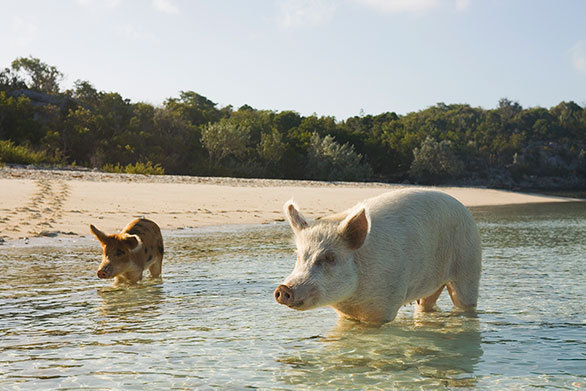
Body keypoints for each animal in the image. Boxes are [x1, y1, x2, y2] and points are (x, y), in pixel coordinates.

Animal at [276, 191, 482, 324]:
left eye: (329, 257)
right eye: (299, 256)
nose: (283, 288)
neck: (353, 301)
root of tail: (465, 210)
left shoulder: (385, 305)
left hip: (469, 264)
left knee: (465, 301)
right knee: (425, 304)